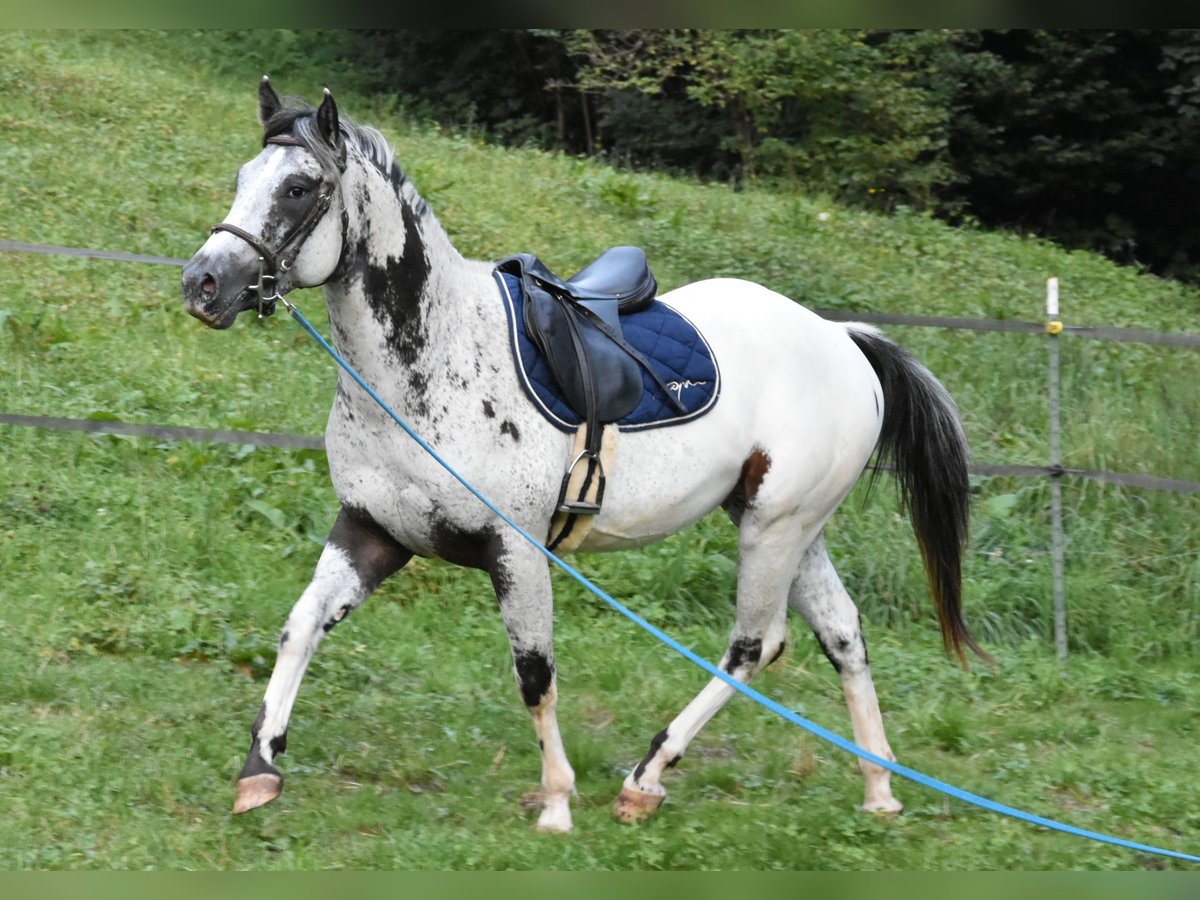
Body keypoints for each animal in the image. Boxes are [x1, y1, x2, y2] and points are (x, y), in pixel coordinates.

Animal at [180, 81, 984, 835]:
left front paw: (558, 804)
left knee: (755, 645)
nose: (203, 284)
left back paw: (646, 777)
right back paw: (879, 790)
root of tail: (843, 340)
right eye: (244, 174)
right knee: (841, 632)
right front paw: (259, 771)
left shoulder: (514, 550)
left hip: (774, 528)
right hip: (790, 524)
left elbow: (535, 676)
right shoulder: (371, 531)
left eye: (298, 187)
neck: (432, 361)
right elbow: (301, 627)